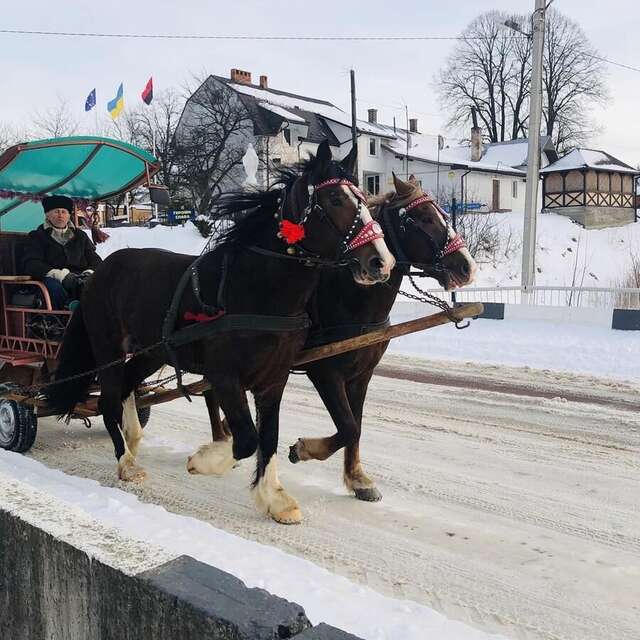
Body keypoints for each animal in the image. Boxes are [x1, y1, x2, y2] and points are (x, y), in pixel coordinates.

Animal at [46, 142, 396, 524]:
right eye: (334, 198)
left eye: (363, 197)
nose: (381, 261)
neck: (254, 290)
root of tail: (98, 272)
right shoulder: (225, 375)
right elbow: (247, 438)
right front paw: (206, 460)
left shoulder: (274, 379)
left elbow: (269, 436)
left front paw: (274, 497)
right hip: (107, 348)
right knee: (108, 400)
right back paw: (125, 461)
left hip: (149, 352)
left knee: (126, 388)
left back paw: (133, 441)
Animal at [192, 174, 478, 510]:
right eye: (422, 218)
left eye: (442, 214)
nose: (467, 266)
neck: (349, 297)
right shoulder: (325, 372)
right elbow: (348, 426)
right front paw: (304, 449)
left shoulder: (361, 375)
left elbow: (356, 426)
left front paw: (357, 478)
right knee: (211, 391)